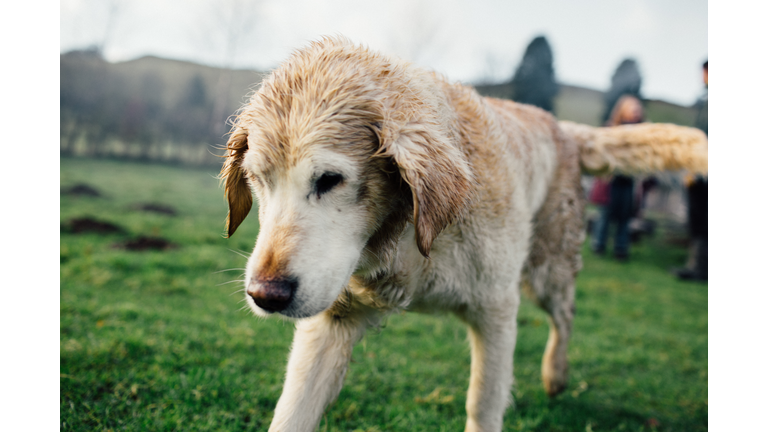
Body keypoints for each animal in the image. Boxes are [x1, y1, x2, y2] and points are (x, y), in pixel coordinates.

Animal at [216, 37, 708, 432]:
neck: (415, 235)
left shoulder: (496, 311)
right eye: (258, 179)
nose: (265, 295)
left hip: (546, 271)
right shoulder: (332, 322)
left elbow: (483, 404)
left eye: (329, 179)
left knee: (565, 315)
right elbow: (292, 412)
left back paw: (556, 373)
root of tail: (561, 128)